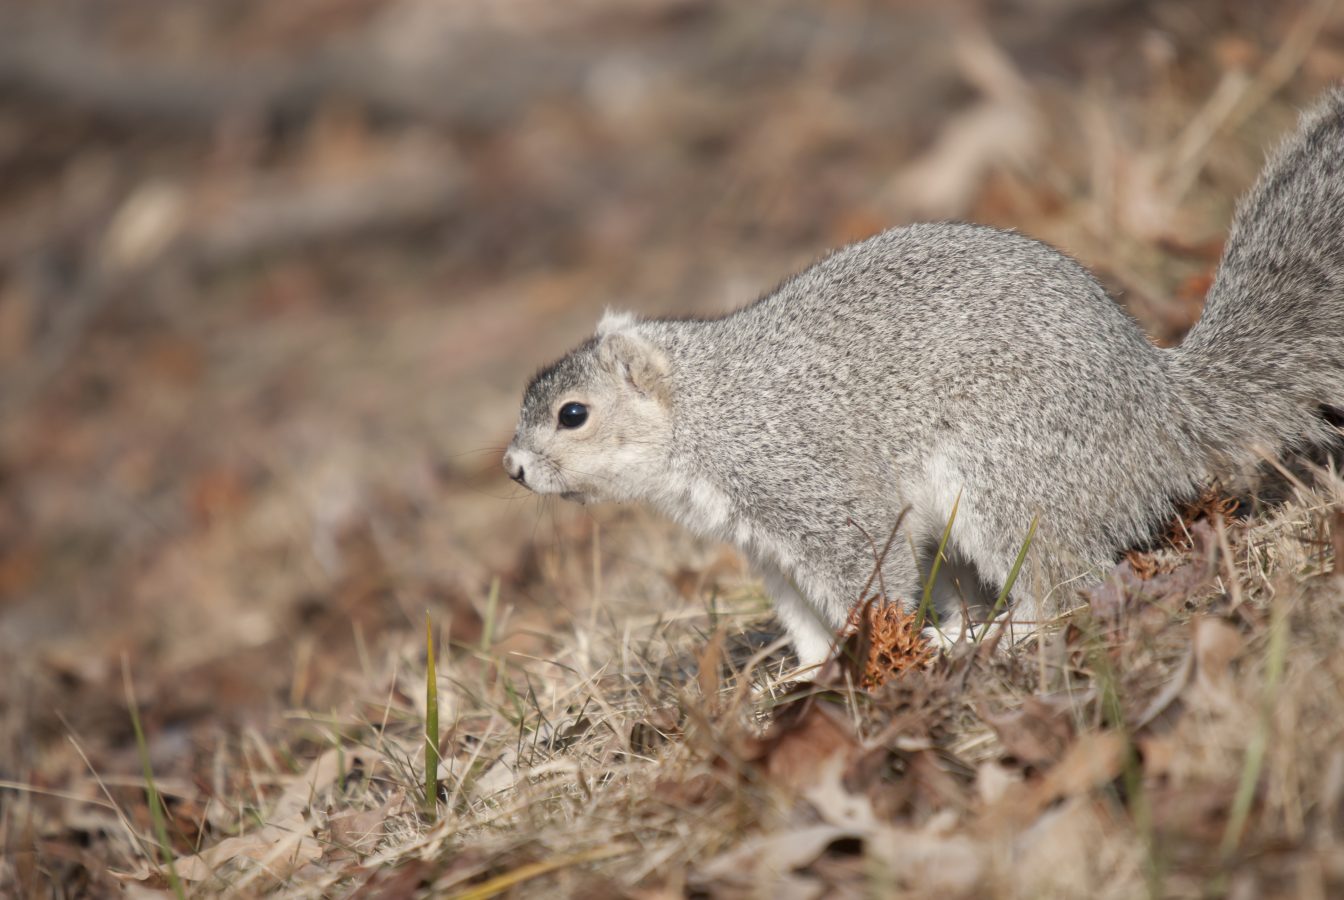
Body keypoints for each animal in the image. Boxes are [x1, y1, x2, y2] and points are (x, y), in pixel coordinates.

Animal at [503, 88, 1344, 667]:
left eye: (573, 414)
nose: (512, 468)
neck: (706, 411)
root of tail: (1161, 414)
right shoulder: (764, 548)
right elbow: (801, 620)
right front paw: (806, 677)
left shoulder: (809, 487)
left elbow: (863, 576)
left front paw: (865, 662)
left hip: (1014, 480)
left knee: (1066, 585)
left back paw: (992, 637)